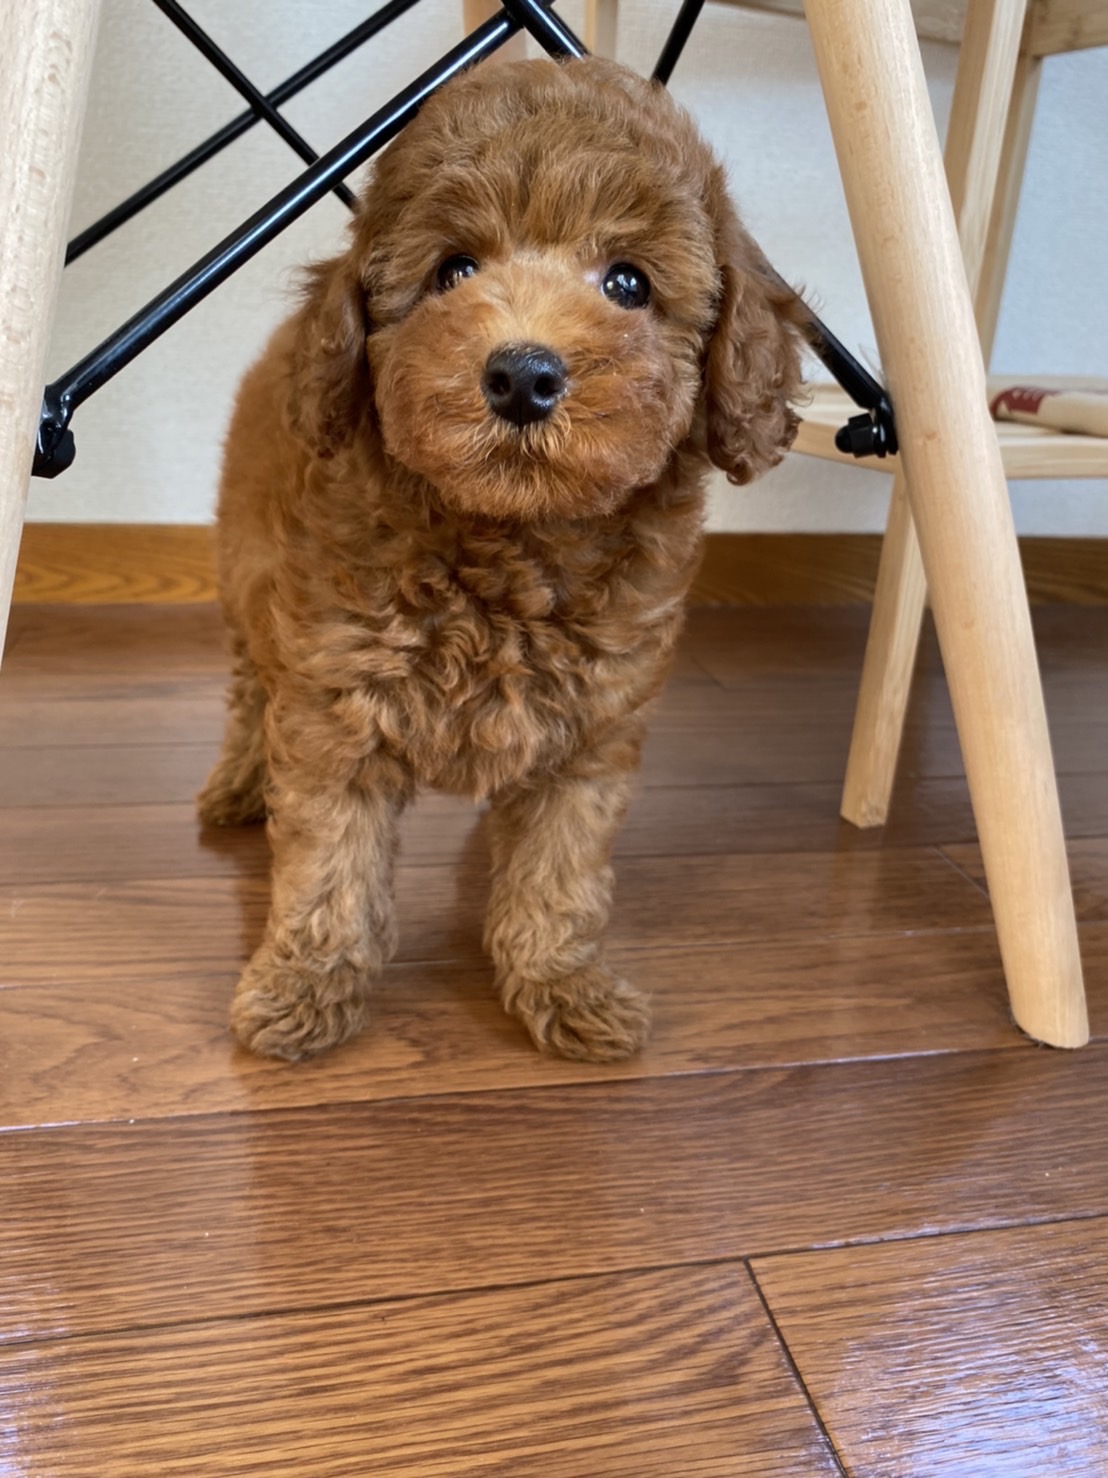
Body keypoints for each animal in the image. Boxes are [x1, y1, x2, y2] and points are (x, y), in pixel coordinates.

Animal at [198, 56, 804, 1063]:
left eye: (629, 282)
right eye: (454, 270)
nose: (523, 374)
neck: (510, 540)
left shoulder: (593, 729)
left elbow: (559, 872)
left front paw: (562, 985)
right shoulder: (338, 695)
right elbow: (331, 865)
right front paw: (304, 987)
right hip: (250, 584)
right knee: (251, 689)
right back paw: (240, 781)